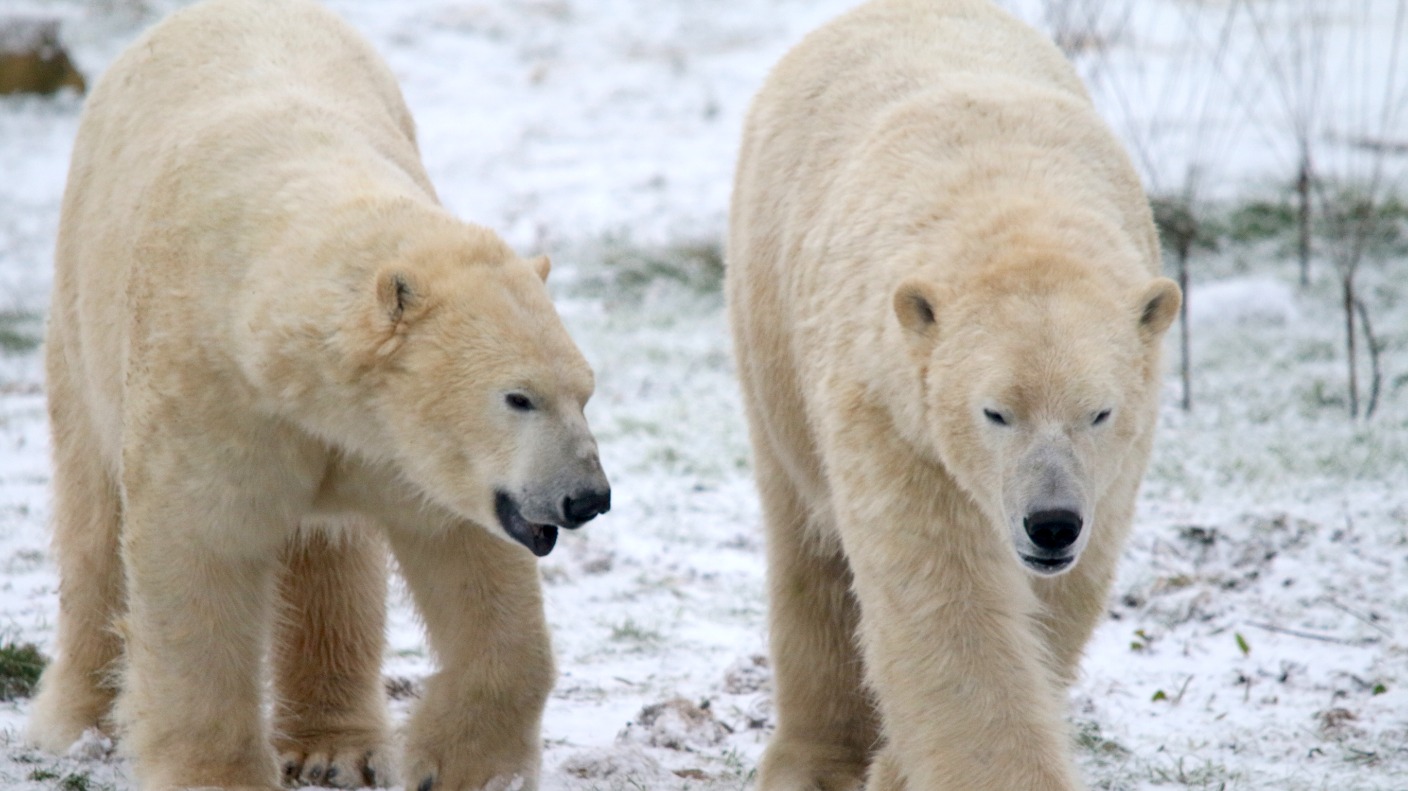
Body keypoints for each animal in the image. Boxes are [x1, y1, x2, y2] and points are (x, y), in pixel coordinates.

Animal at [25, 1, 610, 789]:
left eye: (585, 392)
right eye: (519, 397)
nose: (587, 497)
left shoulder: (395, 450)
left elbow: (467, 556)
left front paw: (457, 763)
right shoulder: (209, 392)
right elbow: (199, 553)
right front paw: (216, 773)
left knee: (333, 554)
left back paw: (336, 747)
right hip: (81, 316)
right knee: (92, 520)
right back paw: (80, 720)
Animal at [725, 1, 1180, 789]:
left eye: (1098, 411)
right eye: (995, 411)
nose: (1051, 524)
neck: (1011, 203)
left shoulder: (1115, 469)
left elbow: (1054, 607)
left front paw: (899, 768)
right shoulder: (892, 415)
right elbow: (947, 604)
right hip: (769, 332)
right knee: (808, 544)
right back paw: (811, 761)